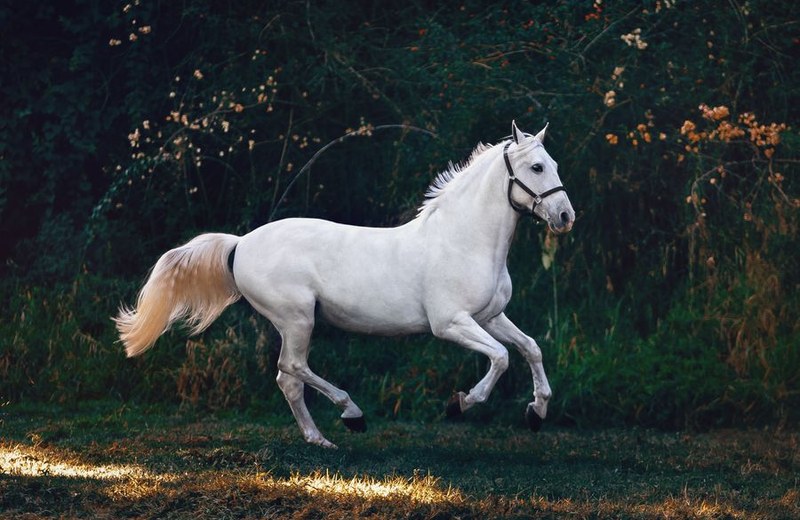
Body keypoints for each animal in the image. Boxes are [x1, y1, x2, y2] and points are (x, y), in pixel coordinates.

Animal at [114, 121, 575, 448]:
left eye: (554, 165)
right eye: (537, 167)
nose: (565, 217)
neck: (464, 240)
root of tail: (241, 243)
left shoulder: (491, 316)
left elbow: (530, 348)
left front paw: (537, 412)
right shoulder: (451, 323)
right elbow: (500, 357)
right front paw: (461, 403)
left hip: (295, 323)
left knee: (288, 379)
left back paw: (320, 439)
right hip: (297, 319)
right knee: (292, 368)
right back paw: (351, 415)